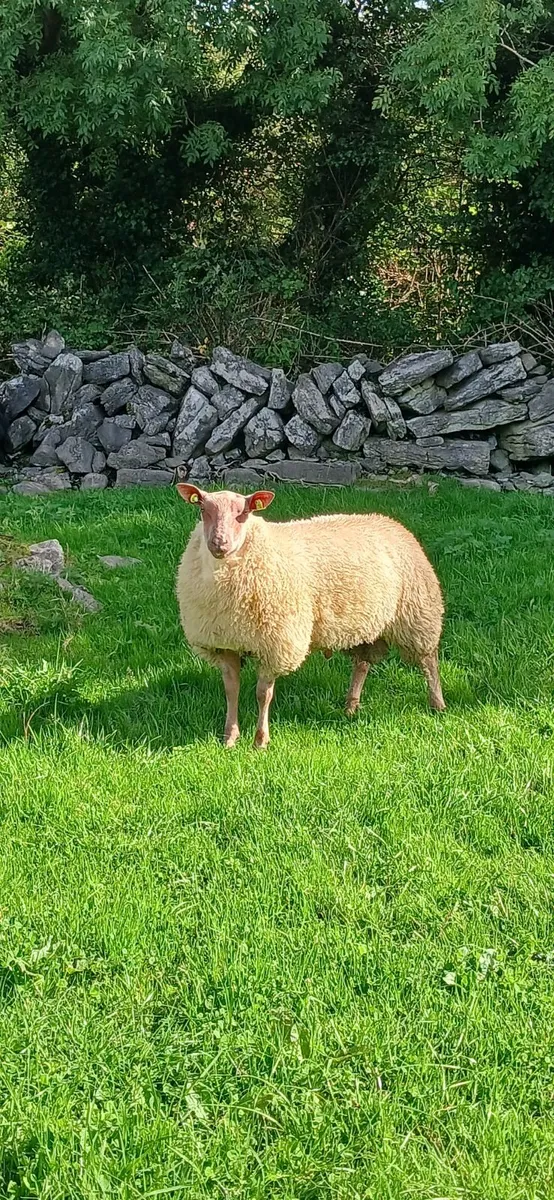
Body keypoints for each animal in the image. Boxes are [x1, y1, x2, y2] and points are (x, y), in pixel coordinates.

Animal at [175, 484, 445, 748]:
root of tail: (388, 521)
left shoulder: (275, 645)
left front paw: (260, 741)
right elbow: (232, 690)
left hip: (418, 613)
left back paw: (437, 704)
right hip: (365, 623)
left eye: (243, 512)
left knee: (428, 660)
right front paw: (230, 738)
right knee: (362, 663)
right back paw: (351, 706)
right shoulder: (225, 643)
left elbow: (263, 694)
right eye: (203, 509)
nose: (219, 543)